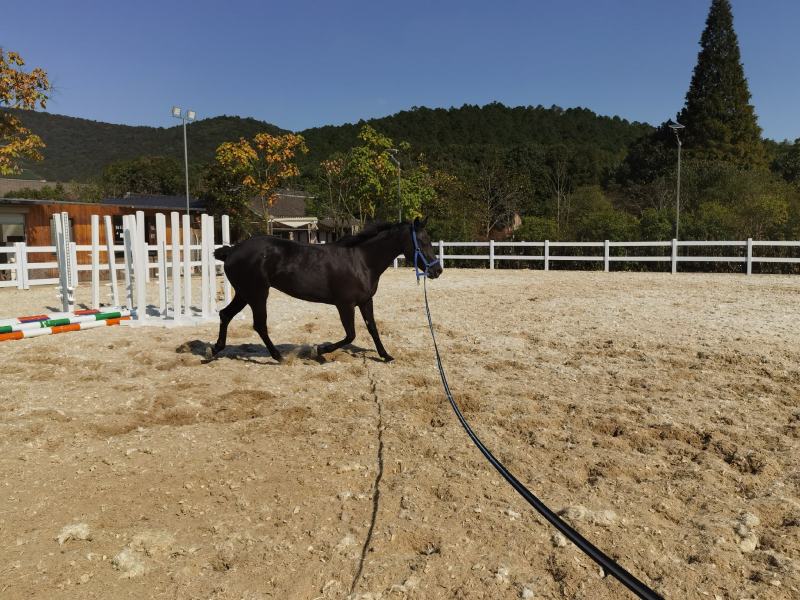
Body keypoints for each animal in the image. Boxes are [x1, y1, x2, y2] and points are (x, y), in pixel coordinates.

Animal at [211, 217, 442, 363]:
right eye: (422, 242)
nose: (437, 270)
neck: (362, 261)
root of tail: (233, 250)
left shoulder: (366, 301)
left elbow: (373, 329)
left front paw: (385, 355)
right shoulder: (345, 304)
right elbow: (350, 335)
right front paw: (320, 350)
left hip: (244, 293)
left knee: (225, 315)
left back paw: (215, 349)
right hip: (258, 294)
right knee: (259, 325)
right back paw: (279, 357)